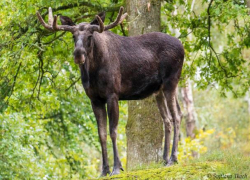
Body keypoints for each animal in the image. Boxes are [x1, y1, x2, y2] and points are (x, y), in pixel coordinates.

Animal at [36, 6, 184, 176]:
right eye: (73, 36)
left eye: (90, 35)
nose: (78, 54)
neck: (92, 72)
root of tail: (183, 47)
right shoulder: (94, 99)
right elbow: (101, 134)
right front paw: (104, 170)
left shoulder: (112, 95)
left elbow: (113, 131)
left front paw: (117, 167)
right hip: (159, 90)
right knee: (168, 119)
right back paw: (164, 159)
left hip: (171, 82)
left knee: (176, 116)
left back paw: (173, 158)